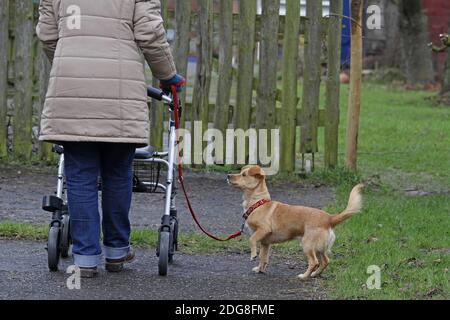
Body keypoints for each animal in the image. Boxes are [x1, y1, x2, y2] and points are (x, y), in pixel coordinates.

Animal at [227, 165, 364, 280]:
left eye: (243, 174)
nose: (228, 175)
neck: (257, 203)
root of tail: (329, 218)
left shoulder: (263, 230)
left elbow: (252, 240)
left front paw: (253, 254)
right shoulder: (266, 243)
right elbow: (263, 258)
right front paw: (260, 269)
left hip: (307, 245)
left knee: (314, 262)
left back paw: (304, 276)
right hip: (318, 248)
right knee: (325, 261)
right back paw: (314, 274)